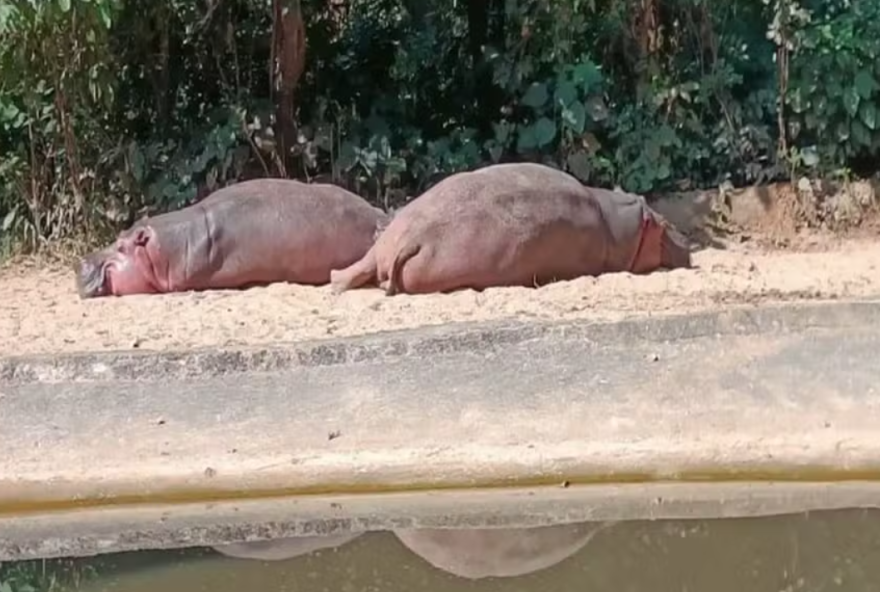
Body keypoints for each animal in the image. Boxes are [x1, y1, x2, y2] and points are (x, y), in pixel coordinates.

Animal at [326, 161, 692, 294]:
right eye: (663, 224)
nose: (688, 241)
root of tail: (410, 237)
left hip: (387, 242)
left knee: (353, 269)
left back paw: (337, 284)